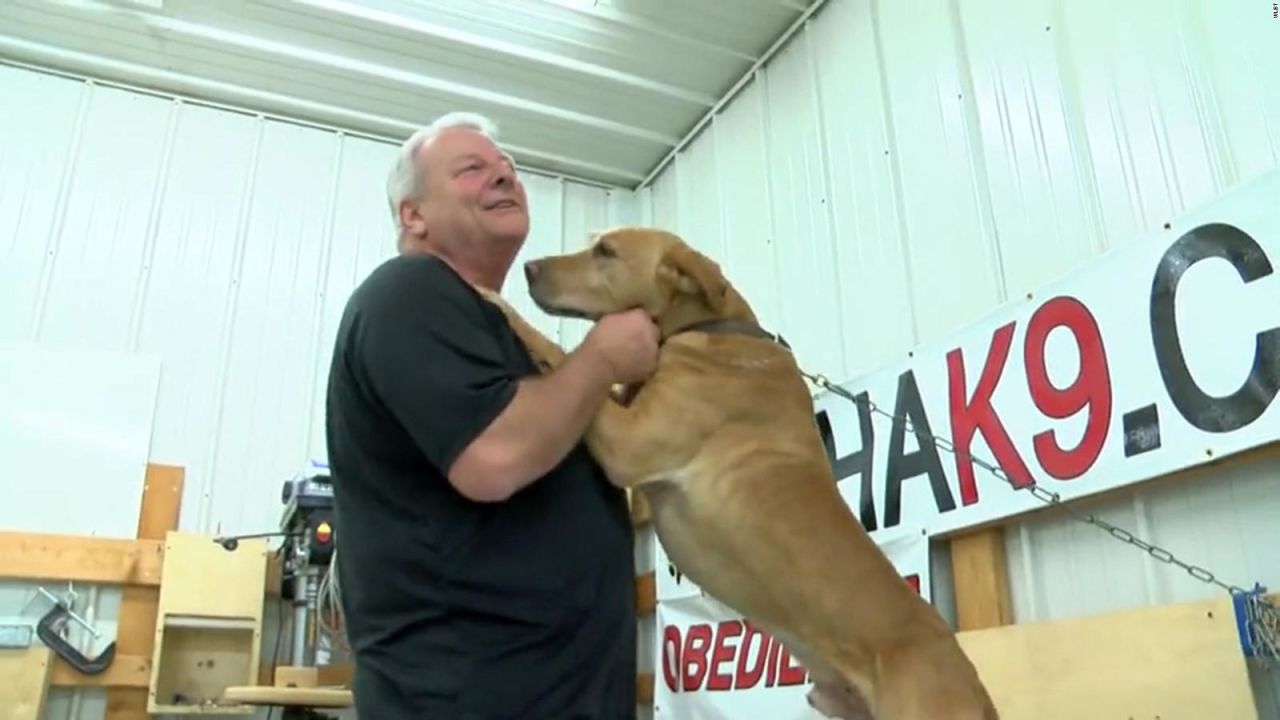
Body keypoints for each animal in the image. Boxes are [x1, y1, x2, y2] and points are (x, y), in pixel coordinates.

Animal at [476, 225, 993, 717]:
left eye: (606, 251)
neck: (707, 327)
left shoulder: (628, 441)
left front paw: (493, 299)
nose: (528, 267)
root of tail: (976, 688)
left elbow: (558, 352)